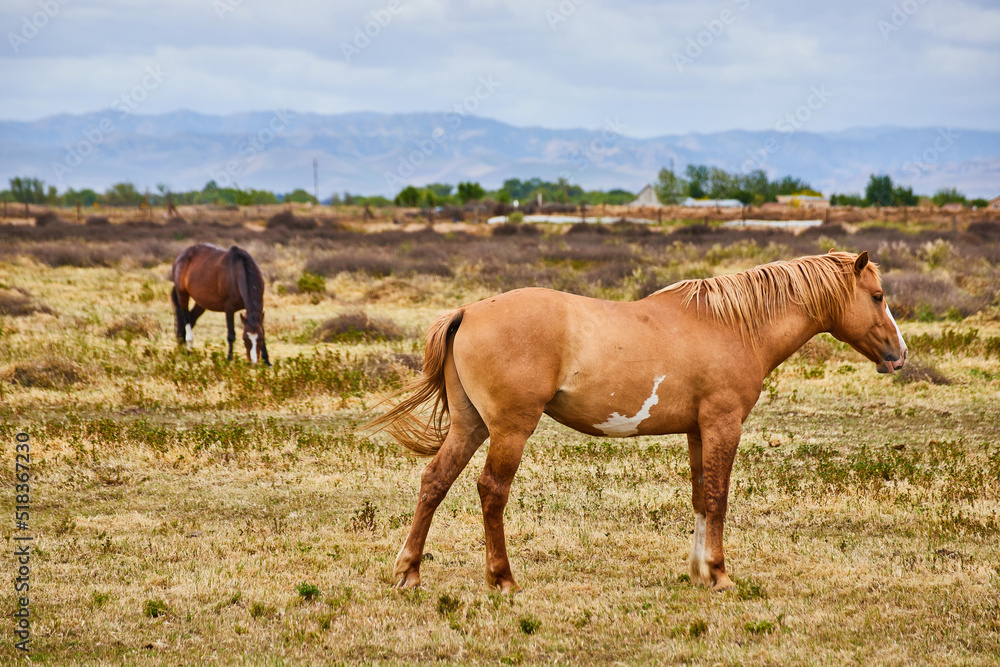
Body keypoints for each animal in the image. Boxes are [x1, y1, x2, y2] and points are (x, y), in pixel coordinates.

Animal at [372, 252, 912, 596]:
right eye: (878, 295)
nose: (899, 354)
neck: (733, 325)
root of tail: (467, 311)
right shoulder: (724, 425)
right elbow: (718, 496)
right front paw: (720, 575)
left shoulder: (698, 431)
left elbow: (700, 496)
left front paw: (698, 571)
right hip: (509, 430)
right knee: (491, 492)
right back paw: (502, 579)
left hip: (470, 427)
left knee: (435, 481)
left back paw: (409, 572)